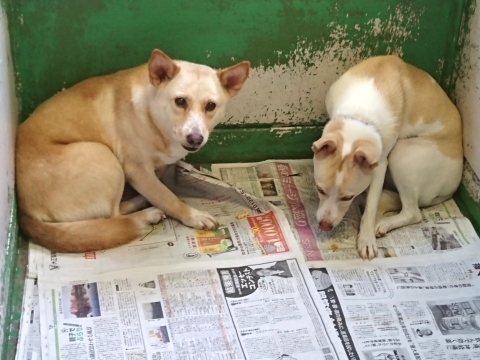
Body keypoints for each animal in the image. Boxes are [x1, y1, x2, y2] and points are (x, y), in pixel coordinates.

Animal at [16, 48, 249, 253]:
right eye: (180, 101)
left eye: (210, 106)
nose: (195, 139)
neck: (153, 118)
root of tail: (24, 213)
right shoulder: (137, 171)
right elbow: (167, 197)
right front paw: (193, 215)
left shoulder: (160, 165)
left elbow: (160, 183)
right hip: (103, 157)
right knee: (114, 216)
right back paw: (144, 213)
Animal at [314, 54, 464, 258]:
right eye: (320, 189)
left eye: (347, 198)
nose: (325, 226)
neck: (360, 115)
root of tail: (451, 190)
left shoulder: (380, 164)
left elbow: (370, 207)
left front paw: (366, 239)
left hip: (402, 155)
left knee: (412, 212)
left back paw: (383, 224)